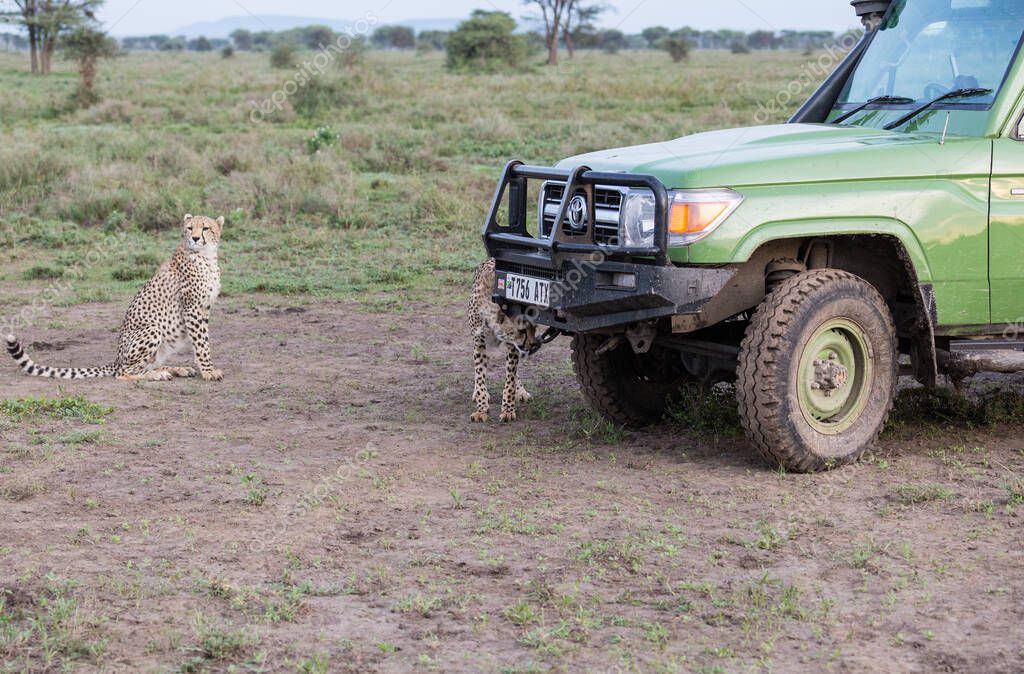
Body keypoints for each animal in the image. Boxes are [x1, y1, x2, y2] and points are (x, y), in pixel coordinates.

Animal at [8, 213, 226, 381]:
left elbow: (204, 340)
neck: (205, 256)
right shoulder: (193, 308)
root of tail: (117, 359)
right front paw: (208, 371)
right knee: (123, 373)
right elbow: (202, 343)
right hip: (152, 330)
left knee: (144, 366)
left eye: (205, 228)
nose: (195, 238)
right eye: (190, 228)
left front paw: (204, 369)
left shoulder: (203, 308)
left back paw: (175, 369)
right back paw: (157, 375)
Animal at [468, 257, 540, 419]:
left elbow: (510, 380)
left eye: (535, 327)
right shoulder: (479, 342)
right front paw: (481, 408)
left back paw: (521, 391)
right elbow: (480, 374)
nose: (533, 344)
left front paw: (508, 409)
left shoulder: (512, 346)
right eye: (522, 330)